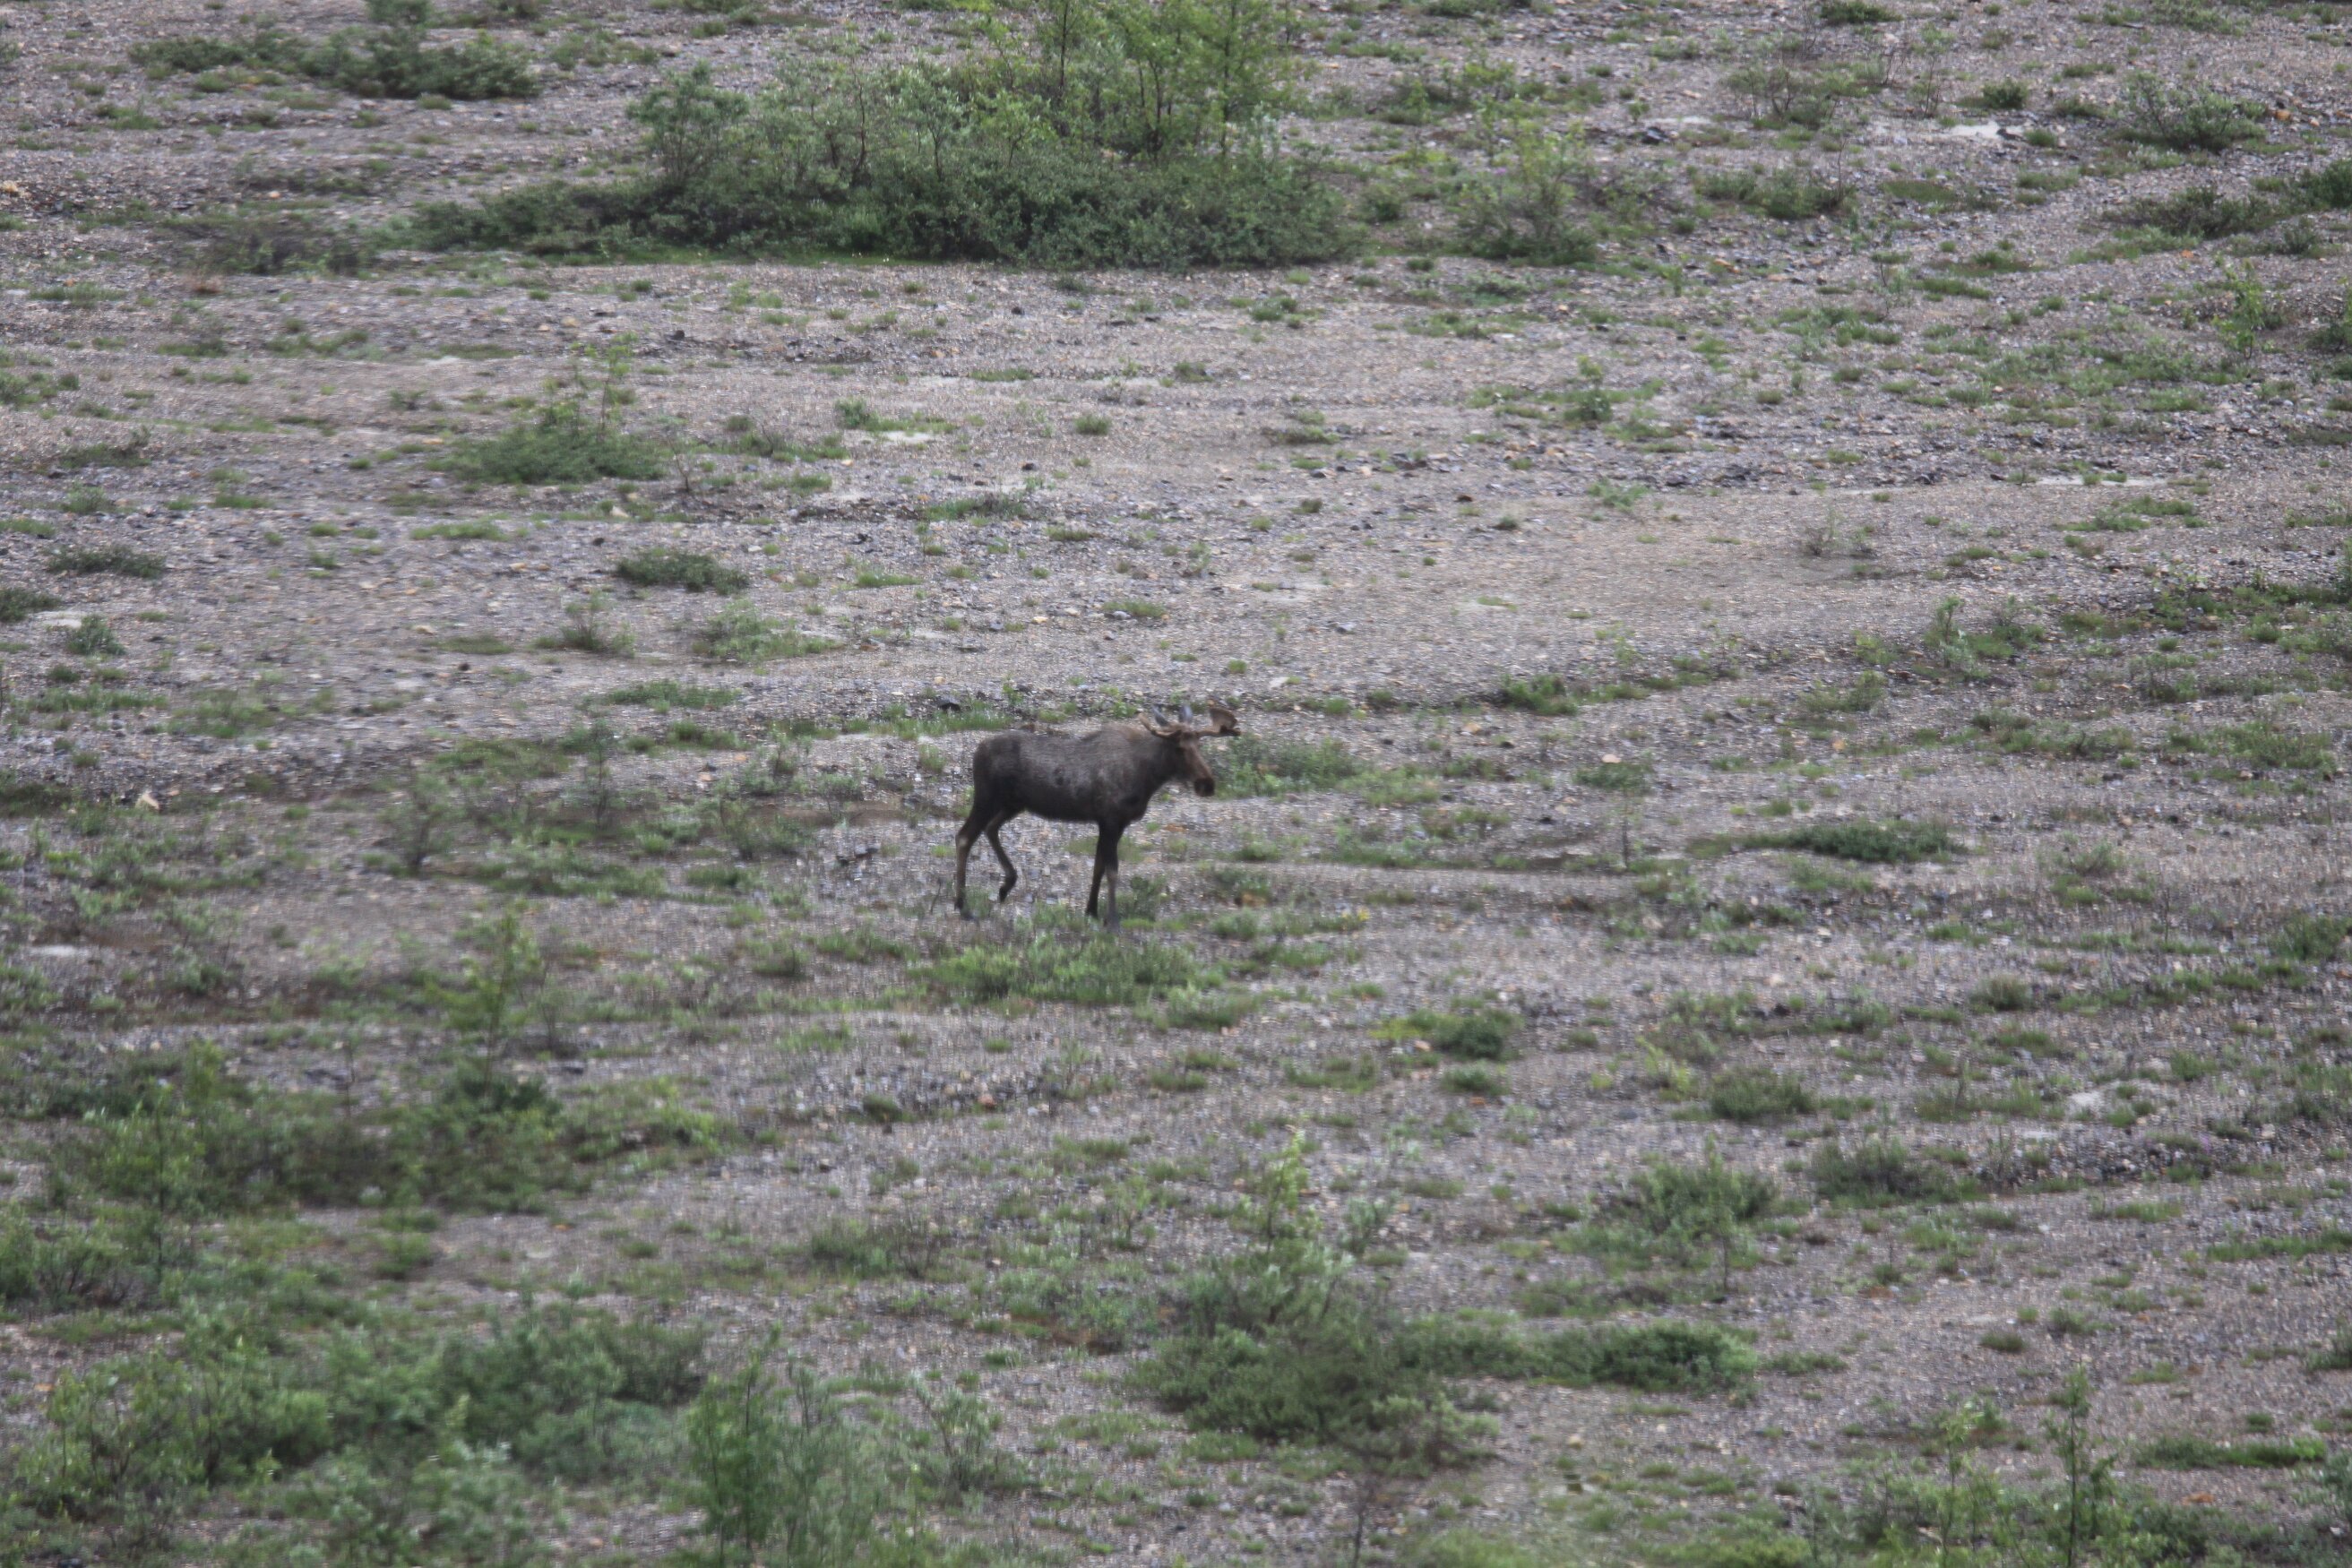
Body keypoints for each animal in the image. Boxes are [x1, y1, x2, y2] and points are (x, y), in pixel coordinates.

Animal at [953, 704, 1240, 931]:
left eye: (1199, 744)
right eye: (1179, 748)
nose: (1206, 784)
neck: (1149, 775)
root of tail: (977, 752)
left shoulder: (1112, 823)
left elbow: (1098, 867)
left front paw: (1091, 911)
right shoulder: (1111, 819)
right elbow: (1112, 870)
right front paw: (1113, 920)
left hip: (1013, 805)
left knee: (990, 829)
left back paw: (1005, 885)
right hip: (987, 798)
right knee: (964, 837)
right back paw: (962, 905)